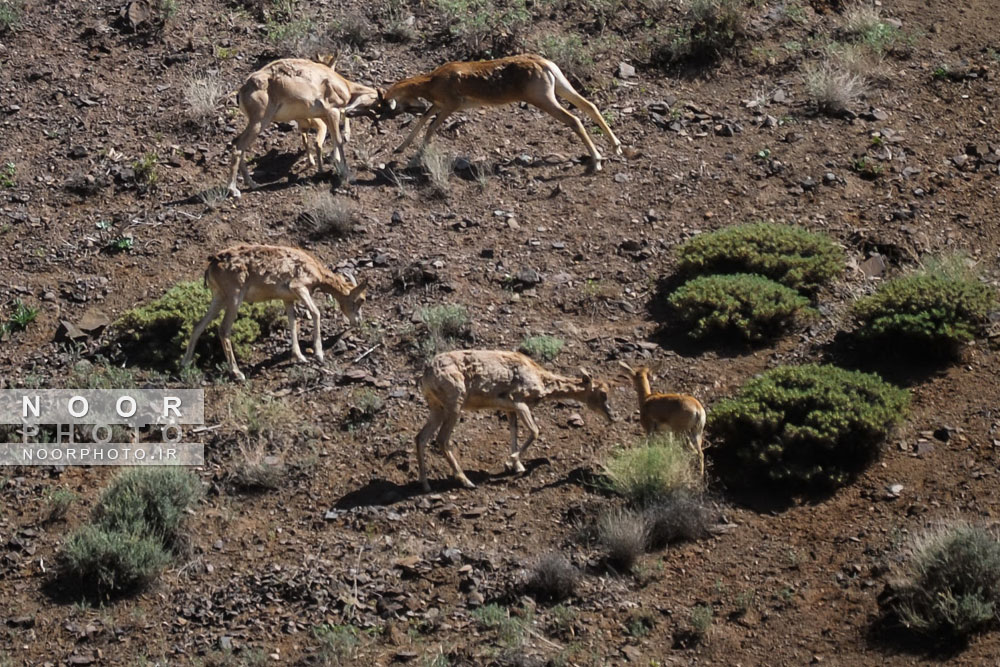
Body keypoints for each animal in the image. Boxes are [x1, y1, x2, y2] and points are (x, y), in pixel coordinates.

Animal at [182, 244, 370, 380]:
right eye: (360, 300)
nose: (358, 321)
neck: (315, 271)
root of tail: (212, 266)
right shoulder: (299, 287)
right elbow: (316, 313)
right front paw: (319, 354)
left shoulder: (288, 299)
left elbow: (292, 323)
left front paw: (300, 357)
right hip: (234, 298)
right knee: (223, 329)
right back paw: (237, 373)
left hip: (219, 298)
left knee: (198, 325)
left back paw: (186, 365)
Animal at [378, 54, 620, 172]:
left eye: (384, 104)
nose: (382, 117)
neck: (432, 81)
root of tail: (543, 63)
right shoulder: (439, 106)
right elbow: (423, 120)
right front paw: (400, 149)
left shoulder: (449, 106)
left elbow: (430, 126)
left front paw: (414, 160)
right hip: (560, 88)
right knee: (590, 106)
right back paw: (617, 148)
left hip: (544, 99)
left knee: (574, 119)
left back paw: (597, 161)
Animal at [414, 352, 616, 494]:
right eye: (602, 393)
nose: (612, 416)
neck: (541, 380)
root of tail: (426, 374)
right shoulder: (518, 401)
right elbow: (535, 431)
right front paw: (511, 461)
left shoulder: (510, 410)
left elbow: (514, 431)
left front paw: (515, 465)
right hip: (455, 404)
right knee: (441, 439)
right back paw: (466, 481)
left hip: (437, 408)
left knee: (421, 437)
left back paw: (426, 485)